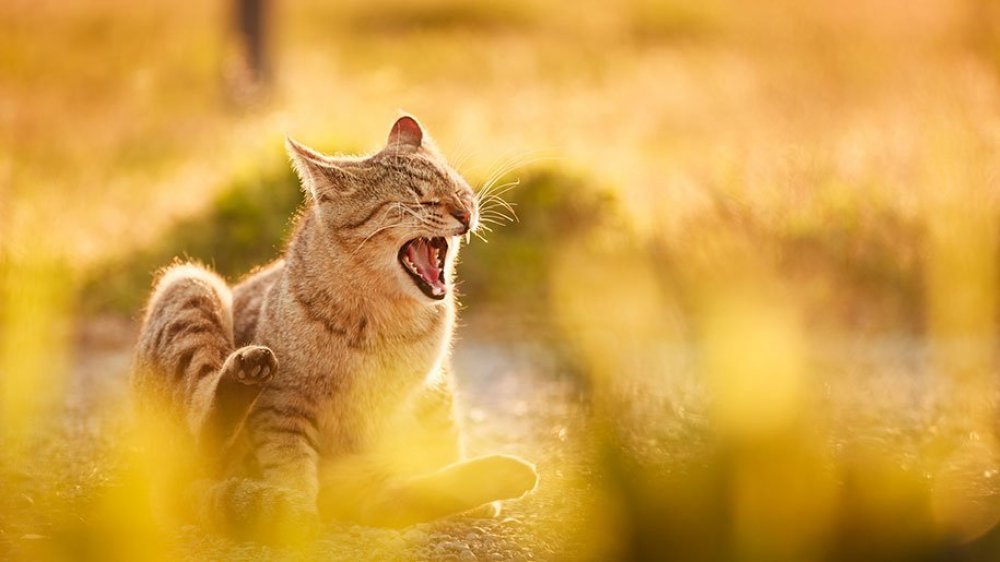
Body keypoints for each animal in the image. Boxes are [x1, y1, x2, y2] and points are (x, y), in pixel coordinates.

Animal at [135, 114, 540, 540]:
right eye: (418, 200)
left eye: (458, 188)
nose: (464, 212)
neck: (390, 319)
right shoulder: (283, 404)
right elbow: (289, 465)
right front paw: (294, 516)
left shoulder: (434, 388)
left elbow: (441, 440)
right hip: (190, 283)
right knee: (203, 433)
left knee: (389, 498)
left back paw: (498, 477)